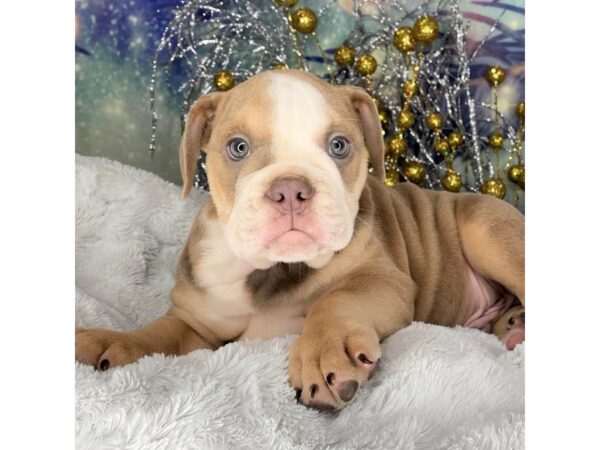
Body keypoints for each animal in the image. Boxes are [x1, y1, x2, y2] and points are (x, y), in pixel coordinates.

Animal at [76, 69, 524, 412]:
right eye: (238, 147)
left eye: (339, 145)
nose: (290, 188)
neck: (272, 271)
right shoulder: (196, 323)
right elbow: (158, 335)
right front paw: (111, 341)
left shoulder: (382, 278)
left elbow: (337, 299)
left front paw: (325, 351)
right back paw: (511, 326)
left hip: (485, 227)